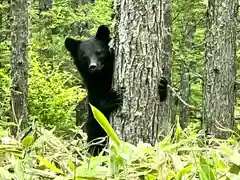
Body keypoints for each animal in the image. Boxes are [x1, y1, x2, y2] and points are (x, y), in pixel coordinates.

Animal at [64, 25, 122, 156]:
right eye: (84, 56)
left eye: (98, 52)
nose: (93, 66)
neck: (102, 77)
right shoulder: (93, 89)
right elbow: (97, 106)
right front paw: (113, 98)